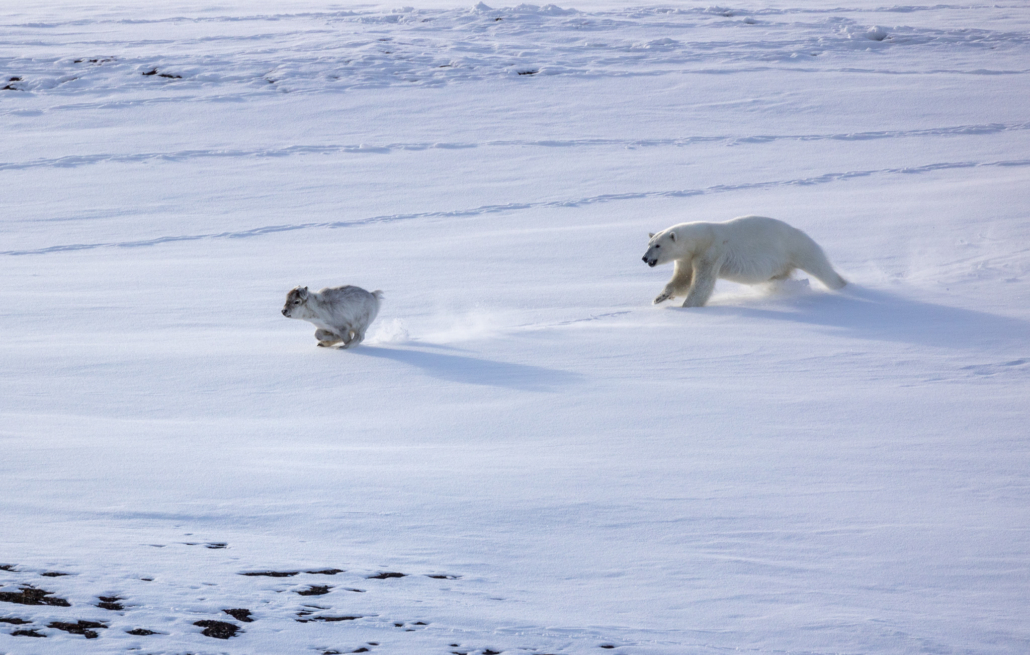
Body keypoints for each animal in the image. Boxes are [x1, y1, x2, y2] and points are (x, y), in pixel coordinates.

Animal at [642, 215, 844, 306]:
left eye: (657, 245)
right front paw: (660, 297)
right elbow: (682, 279)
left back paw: (842, 285)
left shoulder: (711, 252)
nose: (644, 258)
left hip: (796, 248)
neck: (700, 240)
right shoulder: (686, 258)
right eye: (649, 243)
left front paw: (687, 306)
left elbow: (702, 283)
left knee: (821, 268)